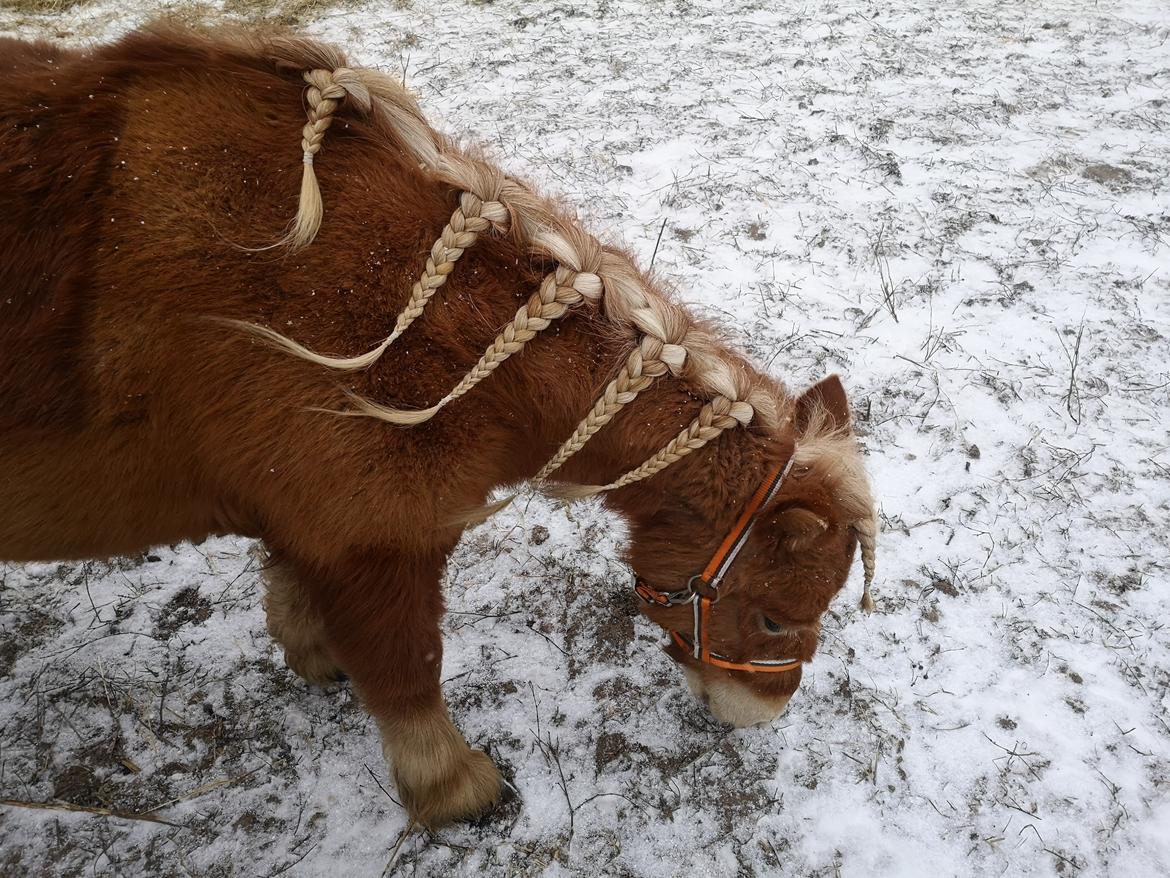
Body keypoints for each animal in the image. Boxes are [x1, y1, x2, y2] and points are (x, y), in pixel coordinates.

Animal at [0, 23, 879, 828]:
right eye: (774, 616)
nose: (764, 715)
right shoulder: (378, 537)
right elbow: (408, 668)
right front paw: (456, 788)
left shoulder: (308, 518)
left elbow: (293, 586)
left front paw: (311, 653)